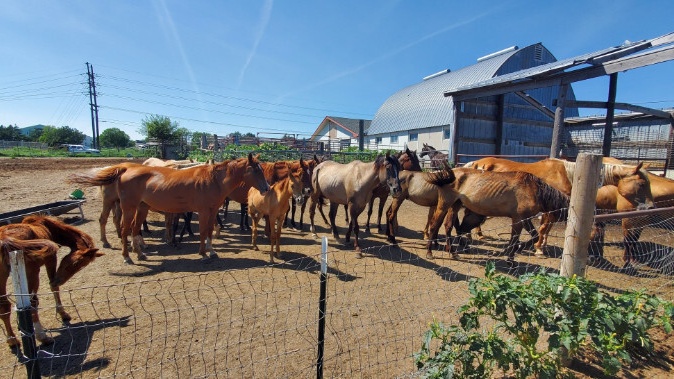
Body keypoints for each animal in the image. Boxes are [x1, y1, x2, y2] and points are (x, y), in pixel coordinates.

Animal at [0, 217, 102, 350]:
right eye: (75, 264)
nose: (59, 279)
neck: (45, 226)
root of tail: (4, 238)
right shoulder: (51, 259)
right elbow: (53, 287)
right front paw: (63, 313)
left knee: (4, 306)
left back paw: (12, 340)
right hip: (32, 272)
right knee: (32, 302)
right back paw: (43, 337)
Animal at [68, 153, 268, 262]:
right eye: (256, 169)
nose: (266, 188)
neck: (213, 180)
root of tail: (124, 169)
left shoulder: (212, 212)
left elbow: (210, 231)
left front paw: (211, 251)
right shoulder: (203, 211)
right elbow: (203, 231)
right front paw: (202, 252)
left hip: (141, 208)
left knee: (134, 228)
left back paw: (140, 253)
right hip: (127, 207)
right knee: (124, 229)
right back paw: (126, 256)